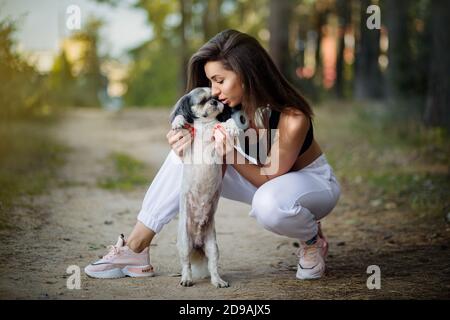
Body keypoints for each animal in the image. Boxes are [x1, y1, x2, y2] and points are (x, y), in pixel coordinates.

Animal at [169, 85, 241, 288]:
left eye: (216, 97)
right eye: (202, 100)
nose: (215, 102)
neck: (206, 125)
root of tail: (197, 243)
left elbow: (227, 122)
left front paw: (232, 127)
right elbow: (181, 119)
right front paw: (177, 122)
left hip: (213, 247)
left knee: (213, 266)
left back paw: (218, 281)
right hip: (184, 243)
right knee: (186, 264)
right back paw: (186, 279)